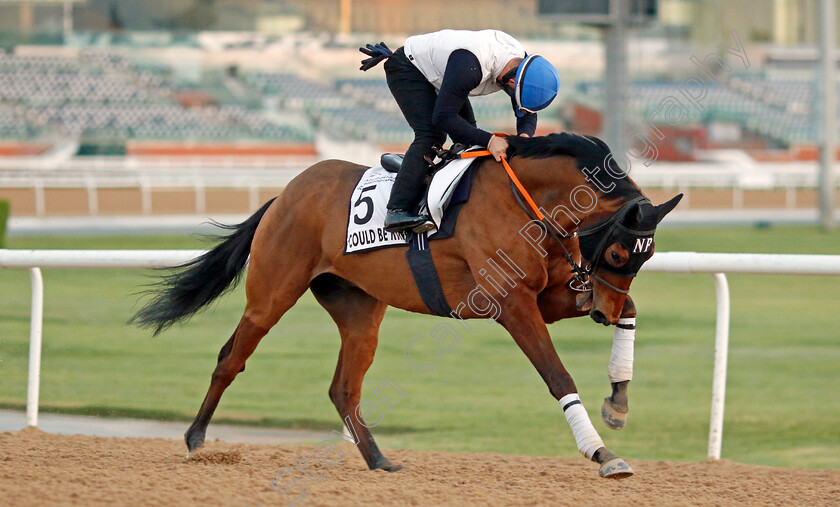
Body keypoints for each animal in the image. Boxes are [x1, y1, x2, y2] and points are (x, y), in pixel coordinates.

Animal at [133, 132, 684, 480]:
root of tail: (285, 193)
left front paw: (618, 402)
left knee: (343, 389)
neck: (527, 200)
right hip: (271, 294)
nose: (600, 311)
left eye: (647, 255)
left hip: (359, 311)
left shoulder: (548, 296)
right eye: (618, 253)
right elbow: (558, 376)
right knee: (232, 359)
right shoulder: (512, 304)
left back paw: (378, 460)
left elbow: (632, 306)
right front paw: (603, 453)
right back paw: (195, 439)